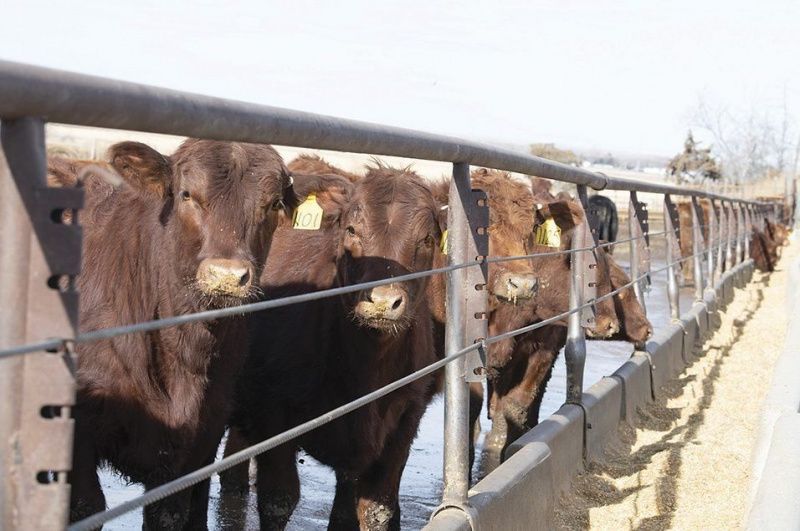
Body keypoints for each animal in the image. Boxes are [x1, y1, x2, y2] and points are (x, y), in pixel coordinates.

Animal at [59, 139, 296, 530]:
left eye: (274, 203)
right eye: (187, 194)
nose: (226, 275)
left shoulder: (203, 430)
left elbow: (170, 512)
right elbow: (86, 506)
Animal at [228, 163, 443, 530]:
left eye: (427, 239)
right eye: (352, 230)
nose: (383, 301)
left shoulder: (406, 419)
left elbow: (375, 507)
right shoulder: (273, 413)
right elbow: (278, 500)